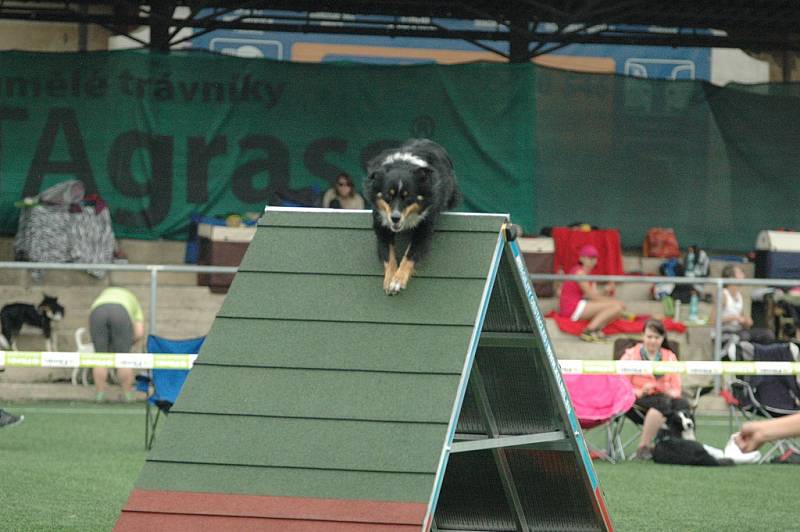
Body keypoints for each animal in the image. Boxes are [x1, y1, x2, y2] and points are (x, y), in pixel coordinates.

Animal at [364, 138, 460, 296]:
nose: (395, 218)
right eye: (388, 197)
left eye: (407, 198)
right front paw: (389, 279)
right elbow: (388, 253)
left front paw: (397, 281)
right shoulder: (381, 222)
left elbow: (410, 254)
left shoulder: (426, 224)